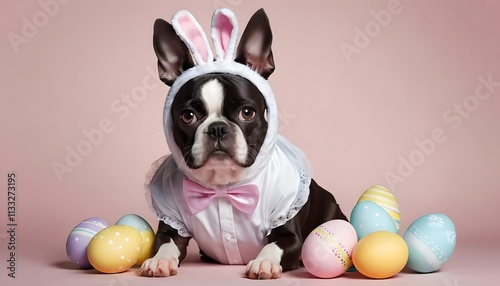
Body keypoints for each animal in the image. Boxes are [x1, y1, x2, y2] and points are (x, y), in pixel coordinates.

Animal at [139, 7, 346, 278]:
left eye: (247, 113)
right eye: (188, 116)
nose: (218, 128)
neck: (223, 187)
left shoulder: (288, 230)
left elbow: (275, 245)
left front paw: (264, 262)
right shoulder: (171, 223)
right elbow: (165, 243)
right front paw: (159, 260)